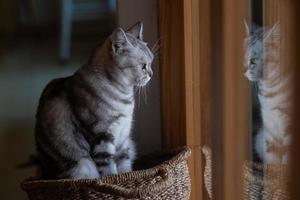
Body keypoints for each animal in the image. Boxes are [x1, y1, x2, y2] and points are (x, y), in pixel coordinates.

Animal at [34, 21, 154, 179]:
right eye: (143, 66)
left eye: (151, 62)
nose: (152, 74)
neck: (124, 97)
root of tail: (44, 172)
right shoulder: (101, 139)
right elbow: (109, 171)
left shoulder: (123, 139)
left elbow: (125, 166)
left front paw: (129, 178)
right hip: (82, 165)